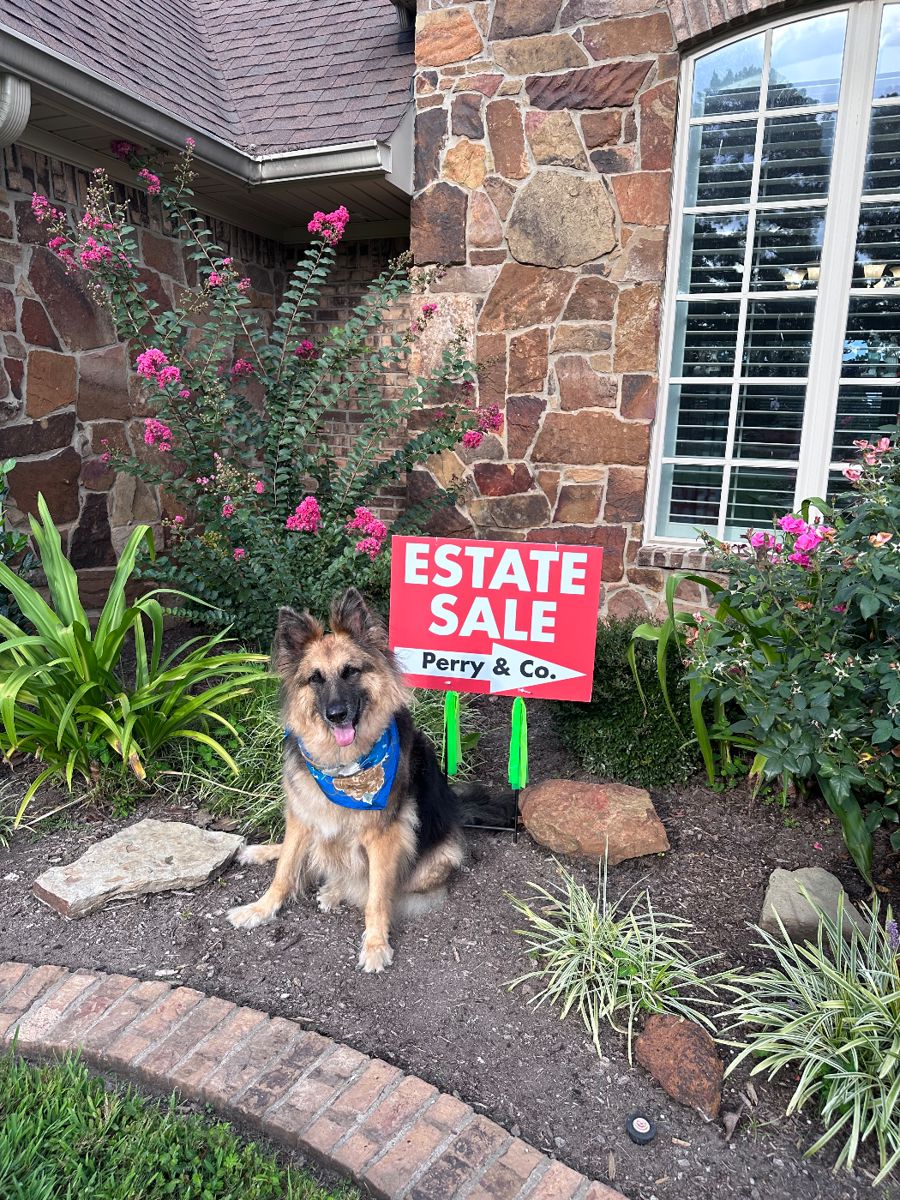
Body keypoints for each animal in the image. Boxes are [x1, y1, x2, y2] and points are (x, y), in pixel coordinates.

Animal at [227, 588, 472, 973]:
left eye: (351, 672)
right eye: (315, 678)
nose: (337, 714)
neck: (342, 767)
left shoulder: (384, 837)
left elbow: (376, 896)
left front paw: (375, 945)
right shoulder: (301, 816)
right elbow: (284, 871)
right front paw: (261, 908)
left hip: (438, 856)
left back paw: (333, 891)